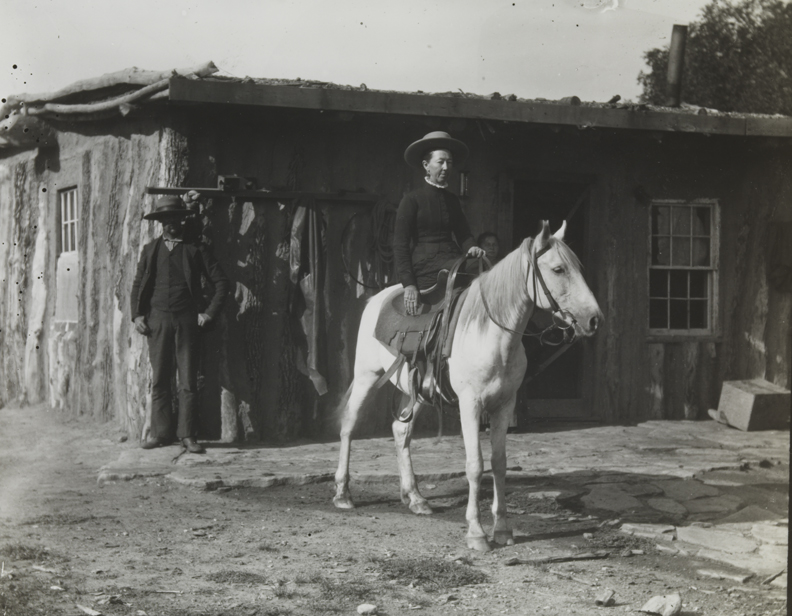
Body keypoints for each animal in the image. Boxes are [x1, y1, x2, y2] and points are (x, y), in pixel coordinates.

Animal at [333, 220, 602, 551]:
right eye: (558, 269)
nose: (593, 319)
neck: (492, 333)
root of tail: (377, 299)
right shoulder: (470, 405)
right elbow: (475, 465)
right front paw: (476, 532)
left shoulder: (504, 405)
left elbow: (499, 463)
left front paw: (503, 529)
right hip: (366, 377)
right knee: (349, 425)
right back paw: (343, 494)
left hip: (418, 392)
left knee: (400, 432)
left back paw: (416, 498)